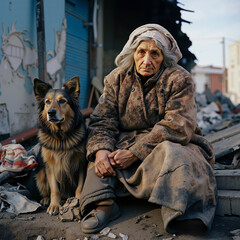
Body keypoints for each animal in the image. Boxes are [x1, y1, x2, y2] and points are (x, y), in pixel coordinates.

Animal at [33, 76, 86, 215]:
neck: (61, 137)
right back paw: (46, 199)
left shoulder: (81, 163)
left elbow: (80, 187)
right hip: (40, 173)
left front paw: (78, 200)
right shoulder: (50, 165)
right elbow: (54, 189)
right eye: (47, 102)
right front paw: (54, 205)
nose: (51, 113)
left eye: (62, 101)